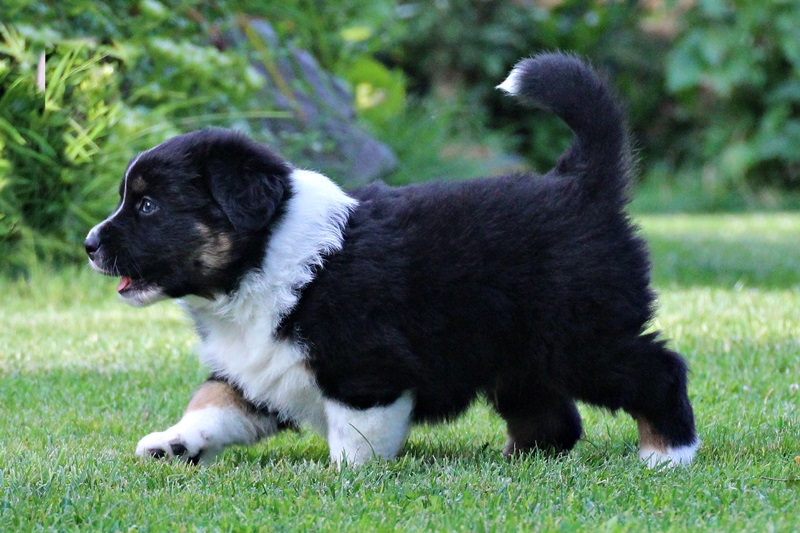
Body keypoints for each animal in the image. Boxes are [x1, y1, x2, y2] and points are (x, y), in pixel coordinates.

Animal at [85, 53, 698, 467]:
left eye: (147, 205)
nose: (89, 244)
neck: (265, 259)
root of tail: (580, 183)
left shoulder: (365, 368)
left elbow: (356, 438)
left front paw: (345, 478)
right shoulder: (258, 366)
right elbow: (212, 400)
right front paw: (172, 443)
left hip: (579, 334)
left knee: (658, 368)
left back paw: (668, 454)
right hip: (515, 348)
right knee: (554, 418)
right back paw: (517, 461)